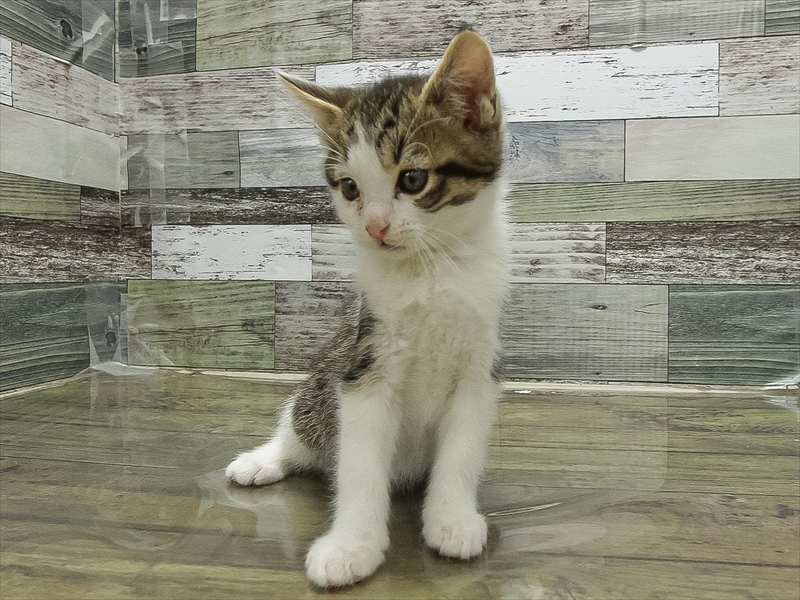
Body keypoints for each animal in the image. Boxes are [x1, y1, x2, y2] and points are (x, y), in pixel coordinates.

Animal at [225, 29, 510, 588]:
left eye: (414, 179)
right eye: (350, 187)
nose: (375, 227)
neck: (429, 270)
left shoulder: (479, 367)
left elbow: (462, 450)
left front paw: (452, 520)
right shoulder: (364, 360)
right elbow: (356, 463)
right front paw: (351, 544)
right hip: (325, 379)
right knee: (303, 424)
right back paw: (264, 459)